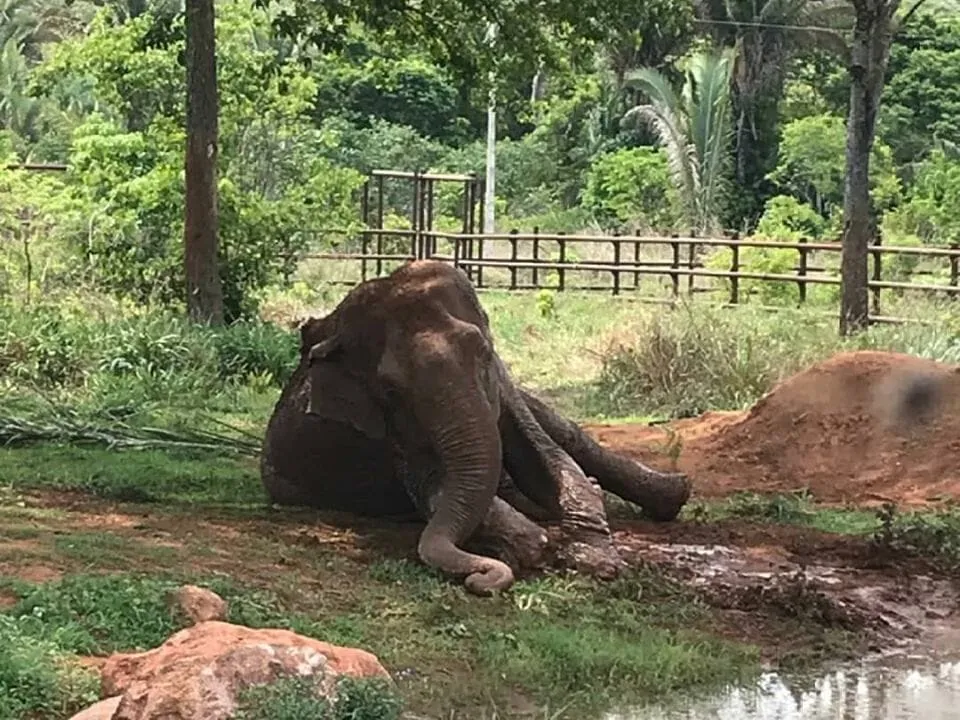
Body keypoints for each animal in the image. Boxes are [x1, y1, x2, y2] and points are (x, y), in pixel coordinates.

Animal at [260, 260, 692, 595]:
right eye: (390, 389)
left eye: (483, 352)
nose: (478, 580)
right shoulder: (386, 428)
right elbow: (432, 486)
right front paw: (528, 545)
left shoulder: (500, 382)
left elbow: (545, 455)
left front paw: (596, 561)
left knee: (567, 433)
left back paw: (671, 493)